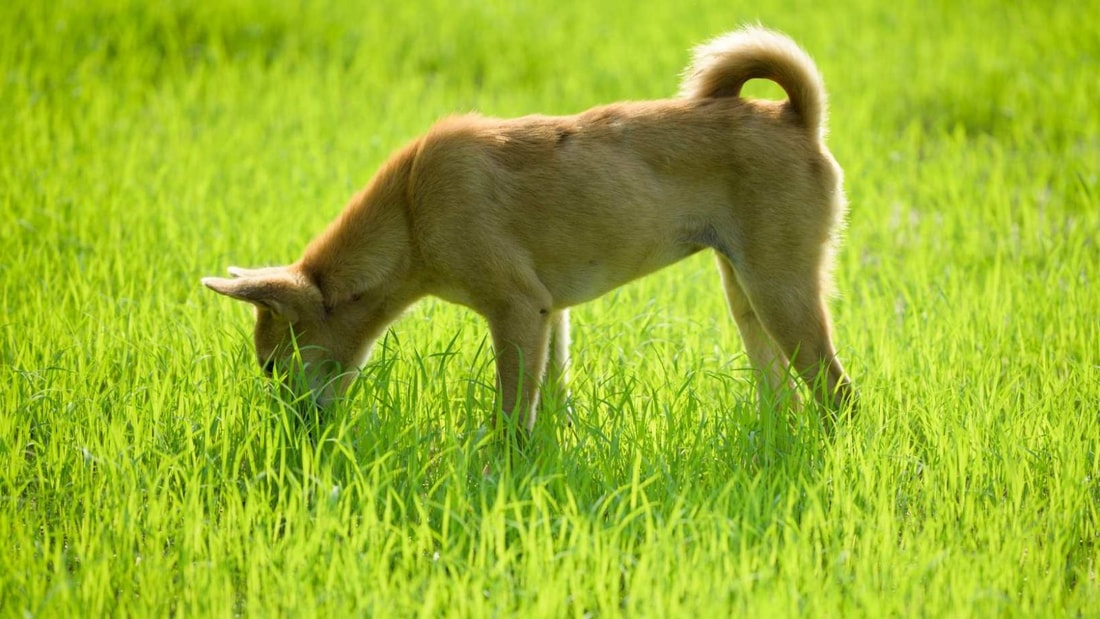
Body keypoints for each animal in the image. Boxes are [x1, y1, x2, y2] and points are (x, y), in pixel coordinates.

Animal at [206, 26, 858, 435]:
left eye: (270, 366)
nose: (289, 434)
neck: (412, 212)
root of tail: (797, 117)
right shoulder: (552, 313)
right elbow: (551, 403)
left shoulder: (517, 308)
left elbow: (512, 412)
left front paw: (501, 468)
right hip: (745, 297)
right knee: (786, 397)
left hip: (780, 292)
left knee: (839, 395)